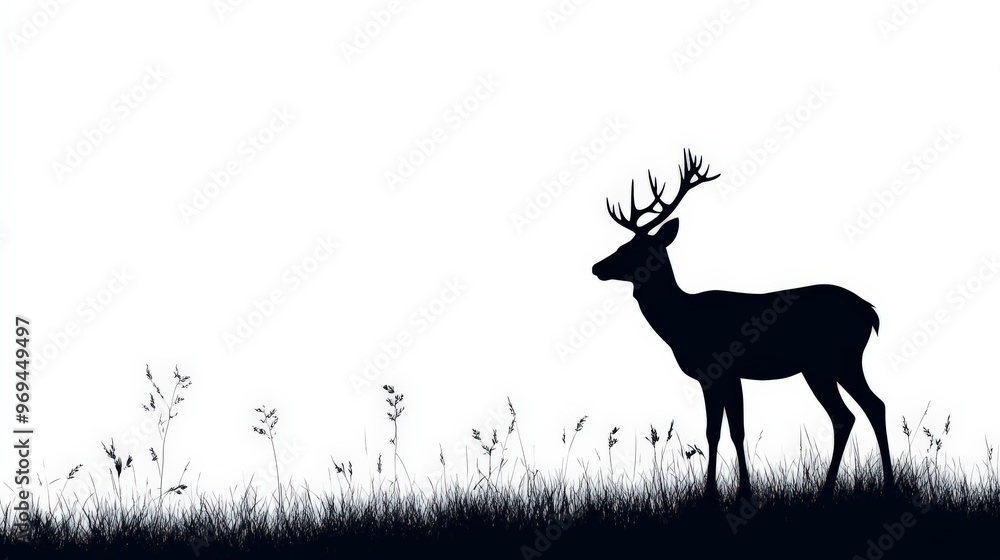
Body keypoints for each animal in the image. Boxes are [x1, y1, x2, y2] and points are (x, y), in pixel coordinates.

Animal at [592, 150, 894, 500]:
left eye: (632, 249)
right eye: (621, 245)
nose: (597, 267)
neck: (682, 322)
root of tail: (870, 312)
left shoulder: (724, 370)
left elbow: (731, 430)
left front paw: (736, 493)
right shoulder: (712, 377)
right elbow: (715, 431)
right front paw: (718, 492)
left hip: (835, 360)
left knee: (861, 410)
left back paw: (868, 488)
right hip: (825, 366)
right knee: (858, 411)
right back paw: (846, 489)